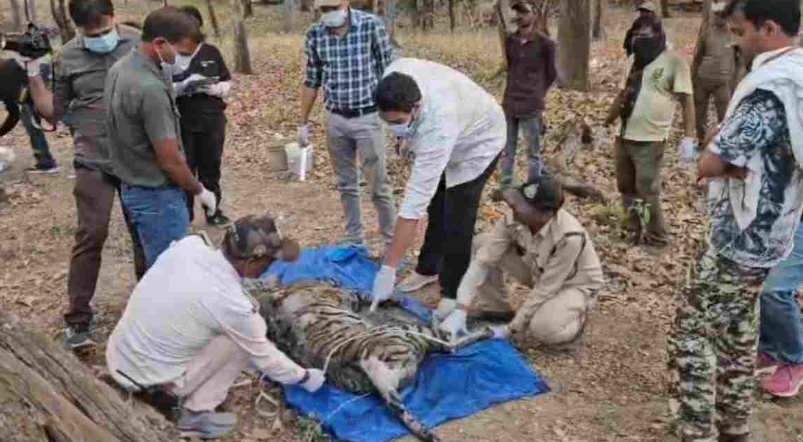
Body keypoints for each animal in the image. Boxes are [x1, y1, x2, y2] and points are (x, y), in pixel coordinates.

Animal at [245, 279, 493, 442]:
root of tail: (369, 365)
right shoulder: (347, 295)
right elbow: (367, 294)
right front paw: (391, 296)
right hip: (411, 330)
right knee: (449, 343)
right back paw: (488, 330)